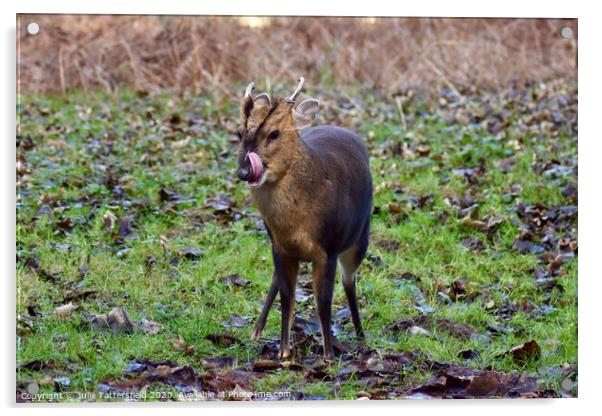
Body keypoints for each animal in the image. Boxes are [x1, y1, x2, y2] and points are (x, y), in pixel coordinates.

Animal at [234, 78, 370, 360]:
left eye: (274, 133)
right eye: (239, 133)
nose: (244, 171)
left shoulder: (329, 247)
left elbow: (324, 302)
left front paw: (328, 354)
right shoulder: (279, 246)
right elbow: (287, 297)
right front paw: (283, 351)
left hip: (359, 238)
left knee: (349, 280)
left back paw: (361, 334)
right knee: (277, 280)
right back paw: (255, 331)